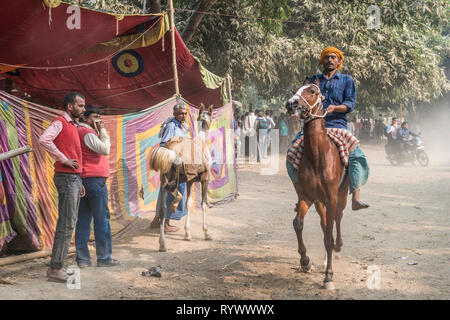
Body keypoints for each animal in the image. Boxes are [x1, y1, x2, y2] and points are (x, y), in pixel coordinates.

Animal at [147, 104, 212, 251]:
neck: (201, 141)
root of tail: (171, 150)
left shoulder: (190, 180)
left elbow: (188, 203)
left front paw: (187, 234)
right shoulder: (205, 179)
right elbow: (203, 204)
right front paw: (206, 233)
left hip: (165, 178)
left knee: (163, 209)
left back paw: (162, 244)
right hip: (176, 177)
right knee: (172, 191)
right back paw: (175, 203)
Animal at [286, 77, 350, 290]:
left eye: (312, 91)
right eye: (296, 89)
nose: (291, 104)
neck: (318, 156)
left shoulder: (331, 197)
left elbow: (329, 237)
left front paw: (329, 276)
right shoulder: (308, 196)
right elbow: (298, 223)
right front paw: (305, 261)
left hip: (341, 196)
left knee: (337, 219)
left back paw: (338, 246)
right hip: (319, 201)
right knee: (324, 223)